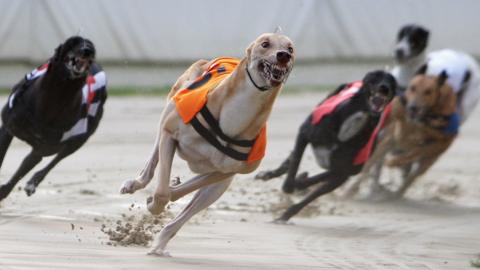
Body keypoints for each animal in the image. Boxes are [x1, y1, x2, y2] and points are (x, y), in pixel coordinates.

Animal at [0, 36, 106, 200]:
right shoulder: (8, 127)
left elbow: (28, 163)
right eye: (73, 42)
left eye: (91, 47)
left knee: (56, 158)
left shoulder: (43, 147)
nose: (87, 51)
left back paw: (32, 182)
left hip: (79, 139)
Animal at [118, 32, 294, 255]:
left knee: (184, 212)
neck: (233, 118)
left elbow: (174, 192)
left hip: (217, 186)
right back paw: (135, 184)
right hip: (171, 106)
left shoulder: (228, 172)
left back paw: (159, 245)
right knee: (153, 161)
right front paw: (154, 202)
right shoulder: (170, 133)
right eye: (265, 44)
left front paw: (166, 192)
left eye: (291, 49)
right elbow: (162, 191)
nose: (283, 56)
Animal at [255, 69, 394, 221]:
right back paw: (271, 173)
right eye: (375, 77)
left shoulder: (343, 172)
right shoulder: (304, 133)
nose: (385, 88)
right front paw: (295, 179)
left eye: (392, 82)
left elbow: (310, 186)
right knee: (292, 160)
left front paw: (299, 185)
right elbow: (291, 177)